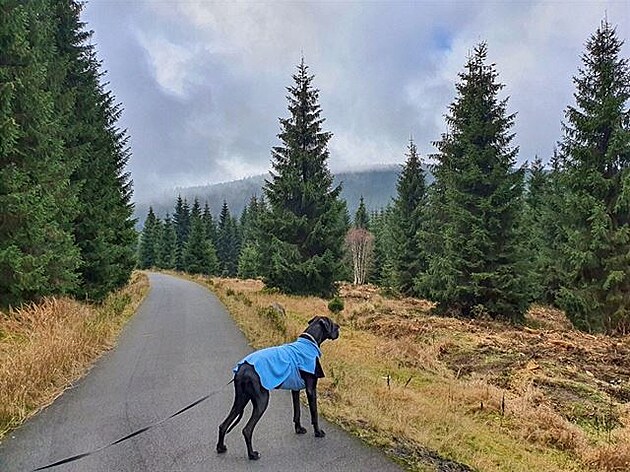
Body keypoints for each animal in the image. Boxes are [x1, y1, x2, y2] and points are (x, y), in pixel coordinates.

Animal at [217, 316, 340, 460]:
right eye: (332, 324)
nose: (339, 328)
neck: (308, 343)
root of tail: (243, 369)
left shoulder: (295, 389)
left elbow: (297, 412)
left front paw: (299, 429)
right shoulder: (311, 389)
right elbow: (314, 413)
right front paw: (318, 432)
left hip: (241, 399)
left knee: (223, 425)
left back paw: (221, 448)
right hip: (262, 400)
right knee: (247, 430)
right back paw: (252, 454)